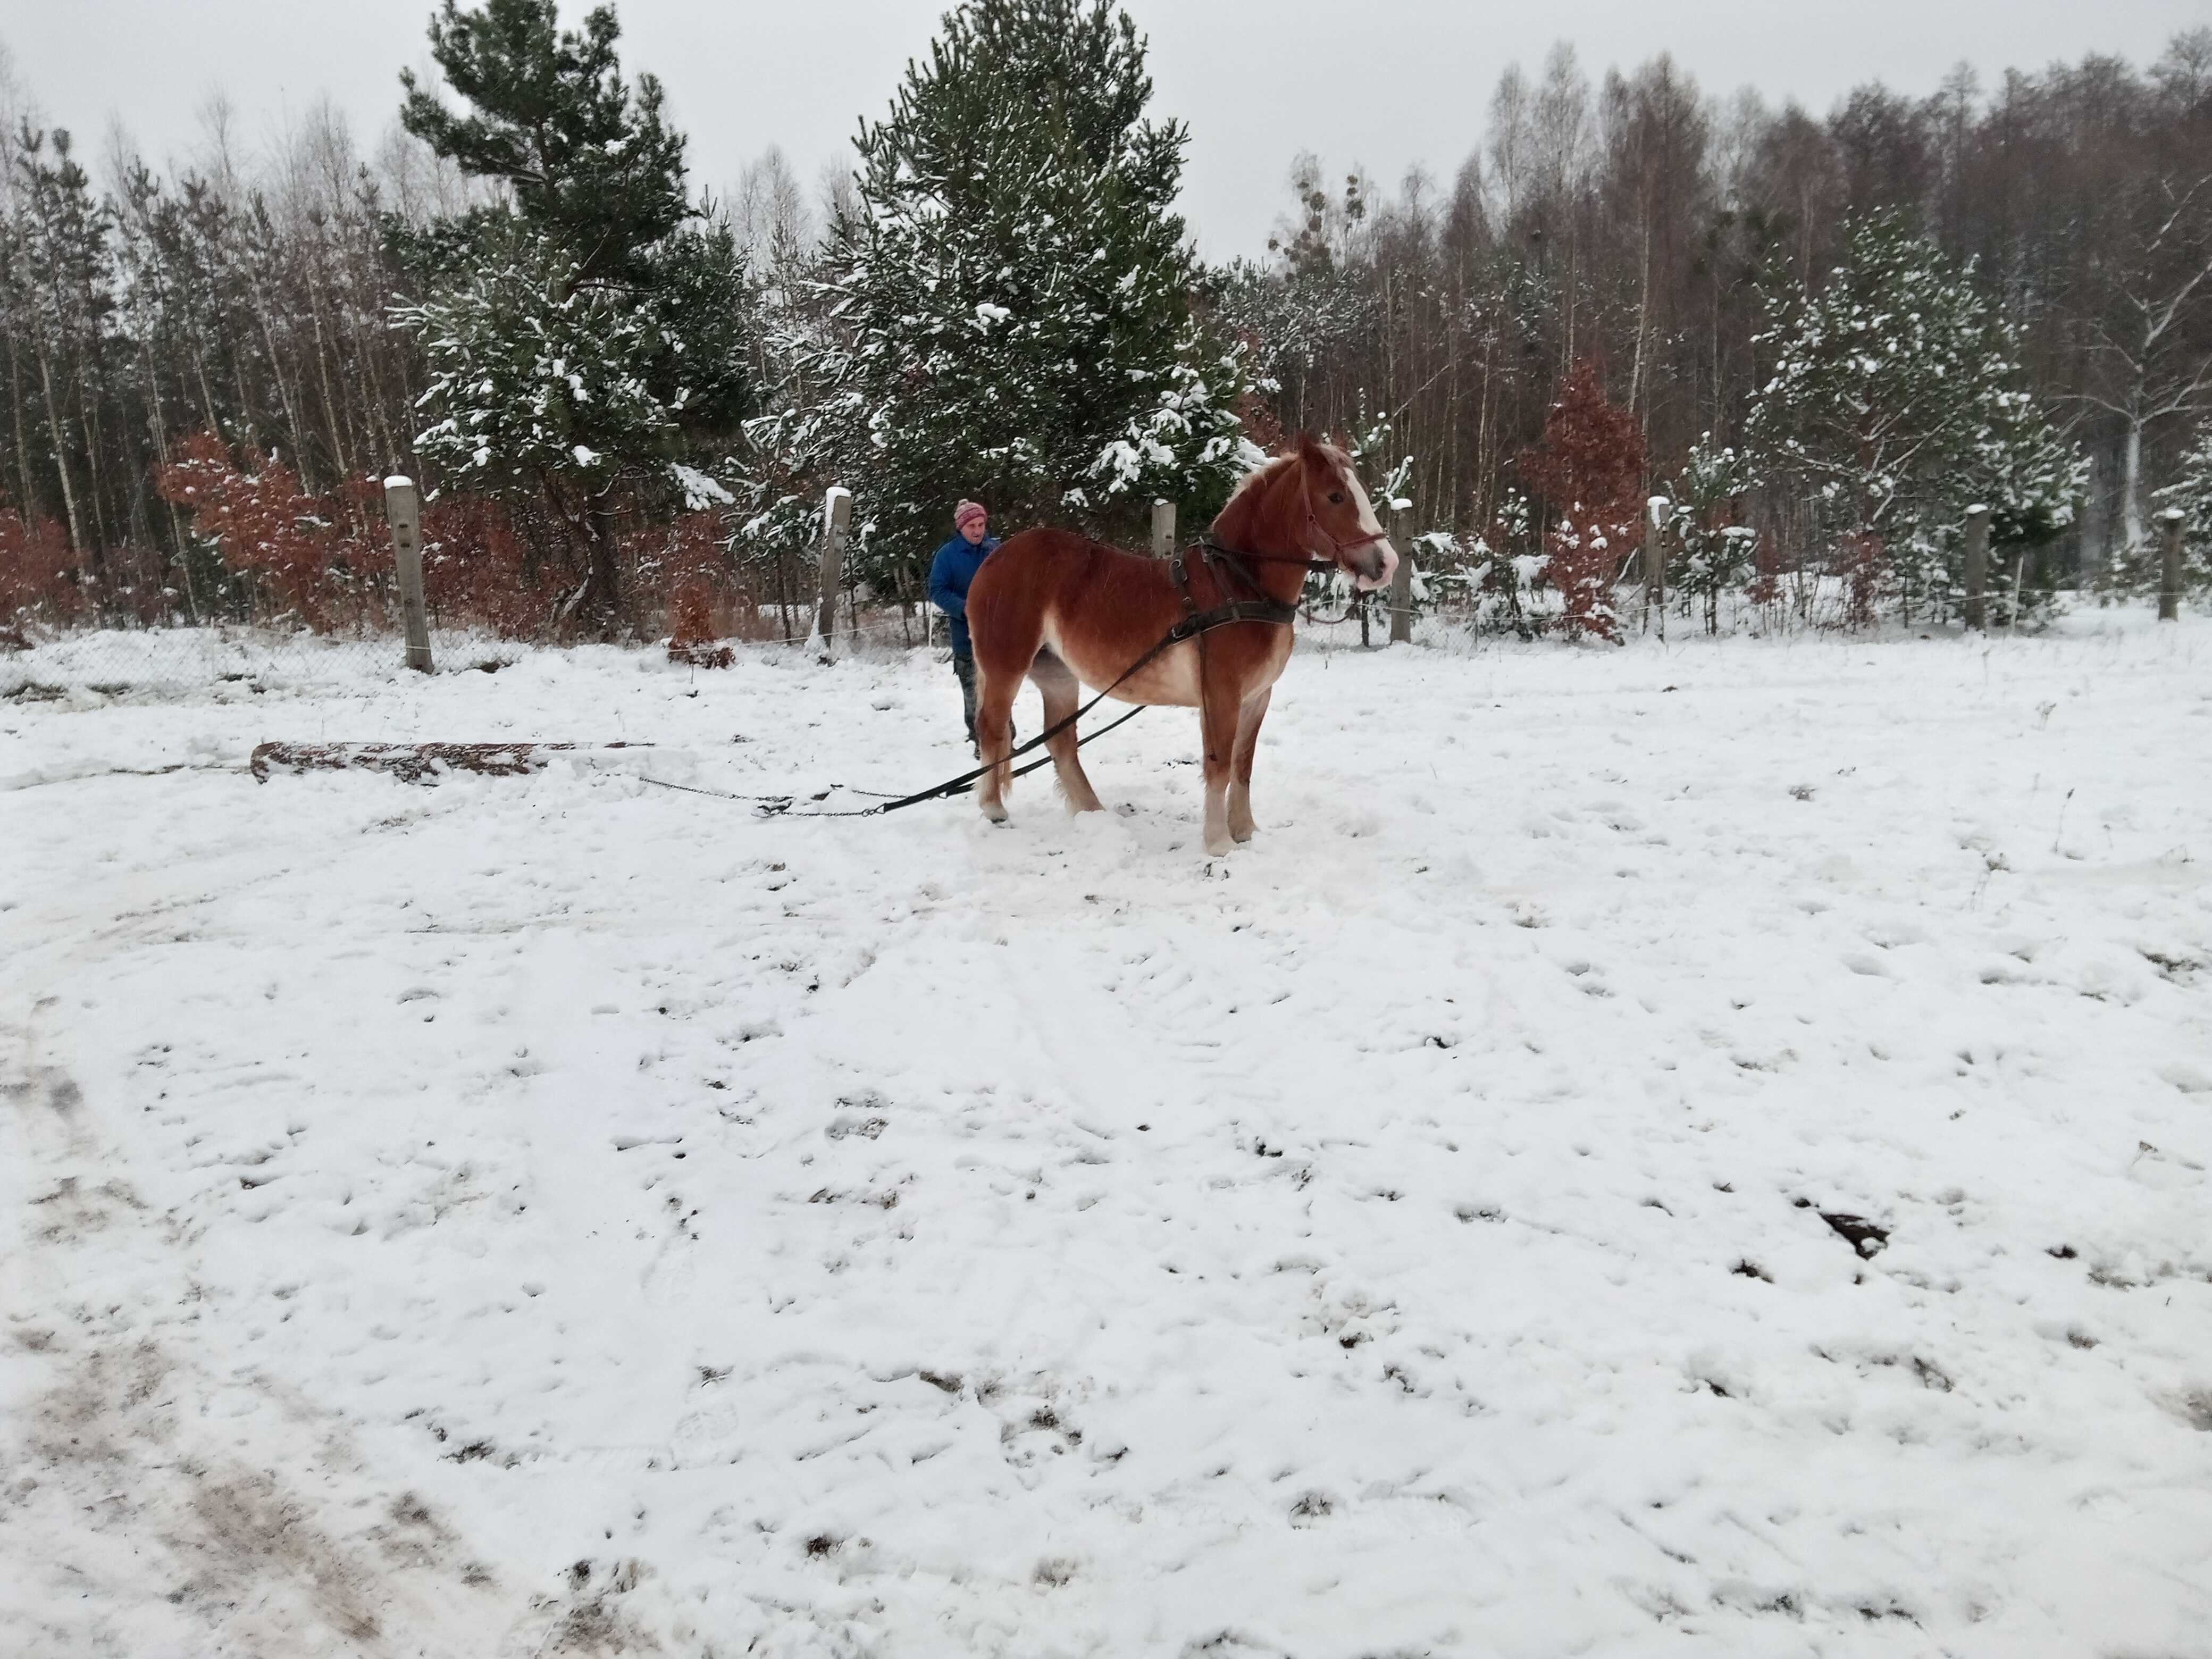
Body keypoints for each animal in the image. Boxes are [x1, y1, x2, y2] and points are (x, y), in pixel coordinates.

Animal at [969, 438, 1398, 858]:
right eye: (1335, 496)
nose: (1386, 565)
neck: (1238, 585)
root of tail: (994, 558)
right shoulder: (1222, 695)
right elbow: (1219, 764)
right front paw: (1219, 843)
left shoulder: (1257, 697)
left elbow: (1243, 765)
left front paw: (1246, 832)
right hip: (1006, 668)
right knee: (992, 728)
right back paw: (994, 809)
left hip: (1058, 675)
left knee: (1060, 742)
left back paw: (1093, 812)